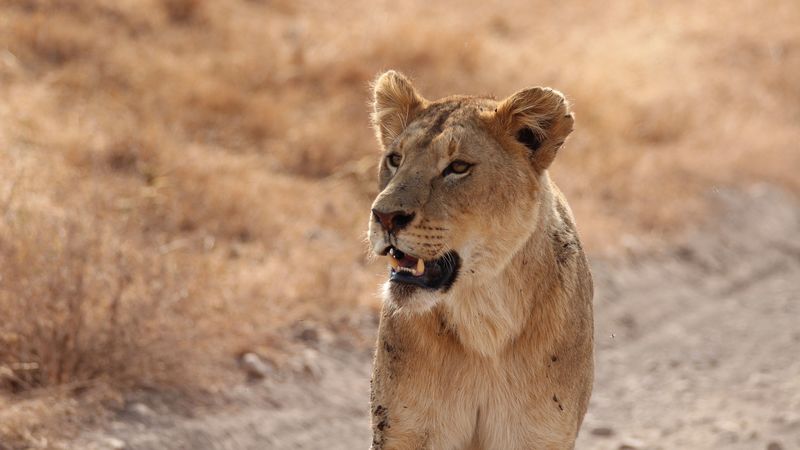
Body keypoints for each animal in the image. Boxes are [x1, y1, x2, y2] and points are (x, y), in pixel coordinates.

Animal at [366, 71, 594, 450]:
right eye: (395, 159)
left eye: (458, 167)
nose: (384, 216)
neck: (483, 317)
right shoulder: (405, 428)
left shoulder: (538, 432)